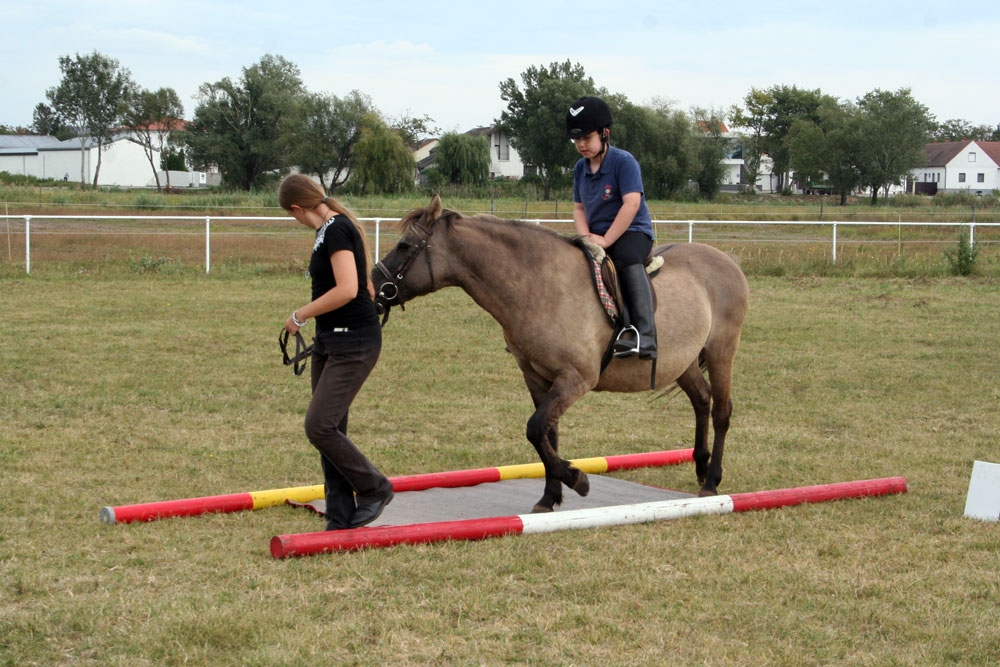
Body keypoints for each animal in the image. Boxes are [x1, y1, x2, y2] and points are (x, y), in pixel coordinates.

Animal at [372, 196, 748, 516]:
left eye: (404, 246)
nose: (374, 285)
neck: (540, 285)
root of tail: (727, 259)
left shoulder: (575, 379)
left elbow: (535, 427)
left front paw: (576, 478)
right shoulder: (538, 379)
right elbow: (545, 434)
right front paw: (550, 496)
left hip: (721, 351)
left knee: (721, 411)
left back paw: (712, 480)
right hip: (681, 361)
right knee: (701, 399)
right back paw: (701, 466)